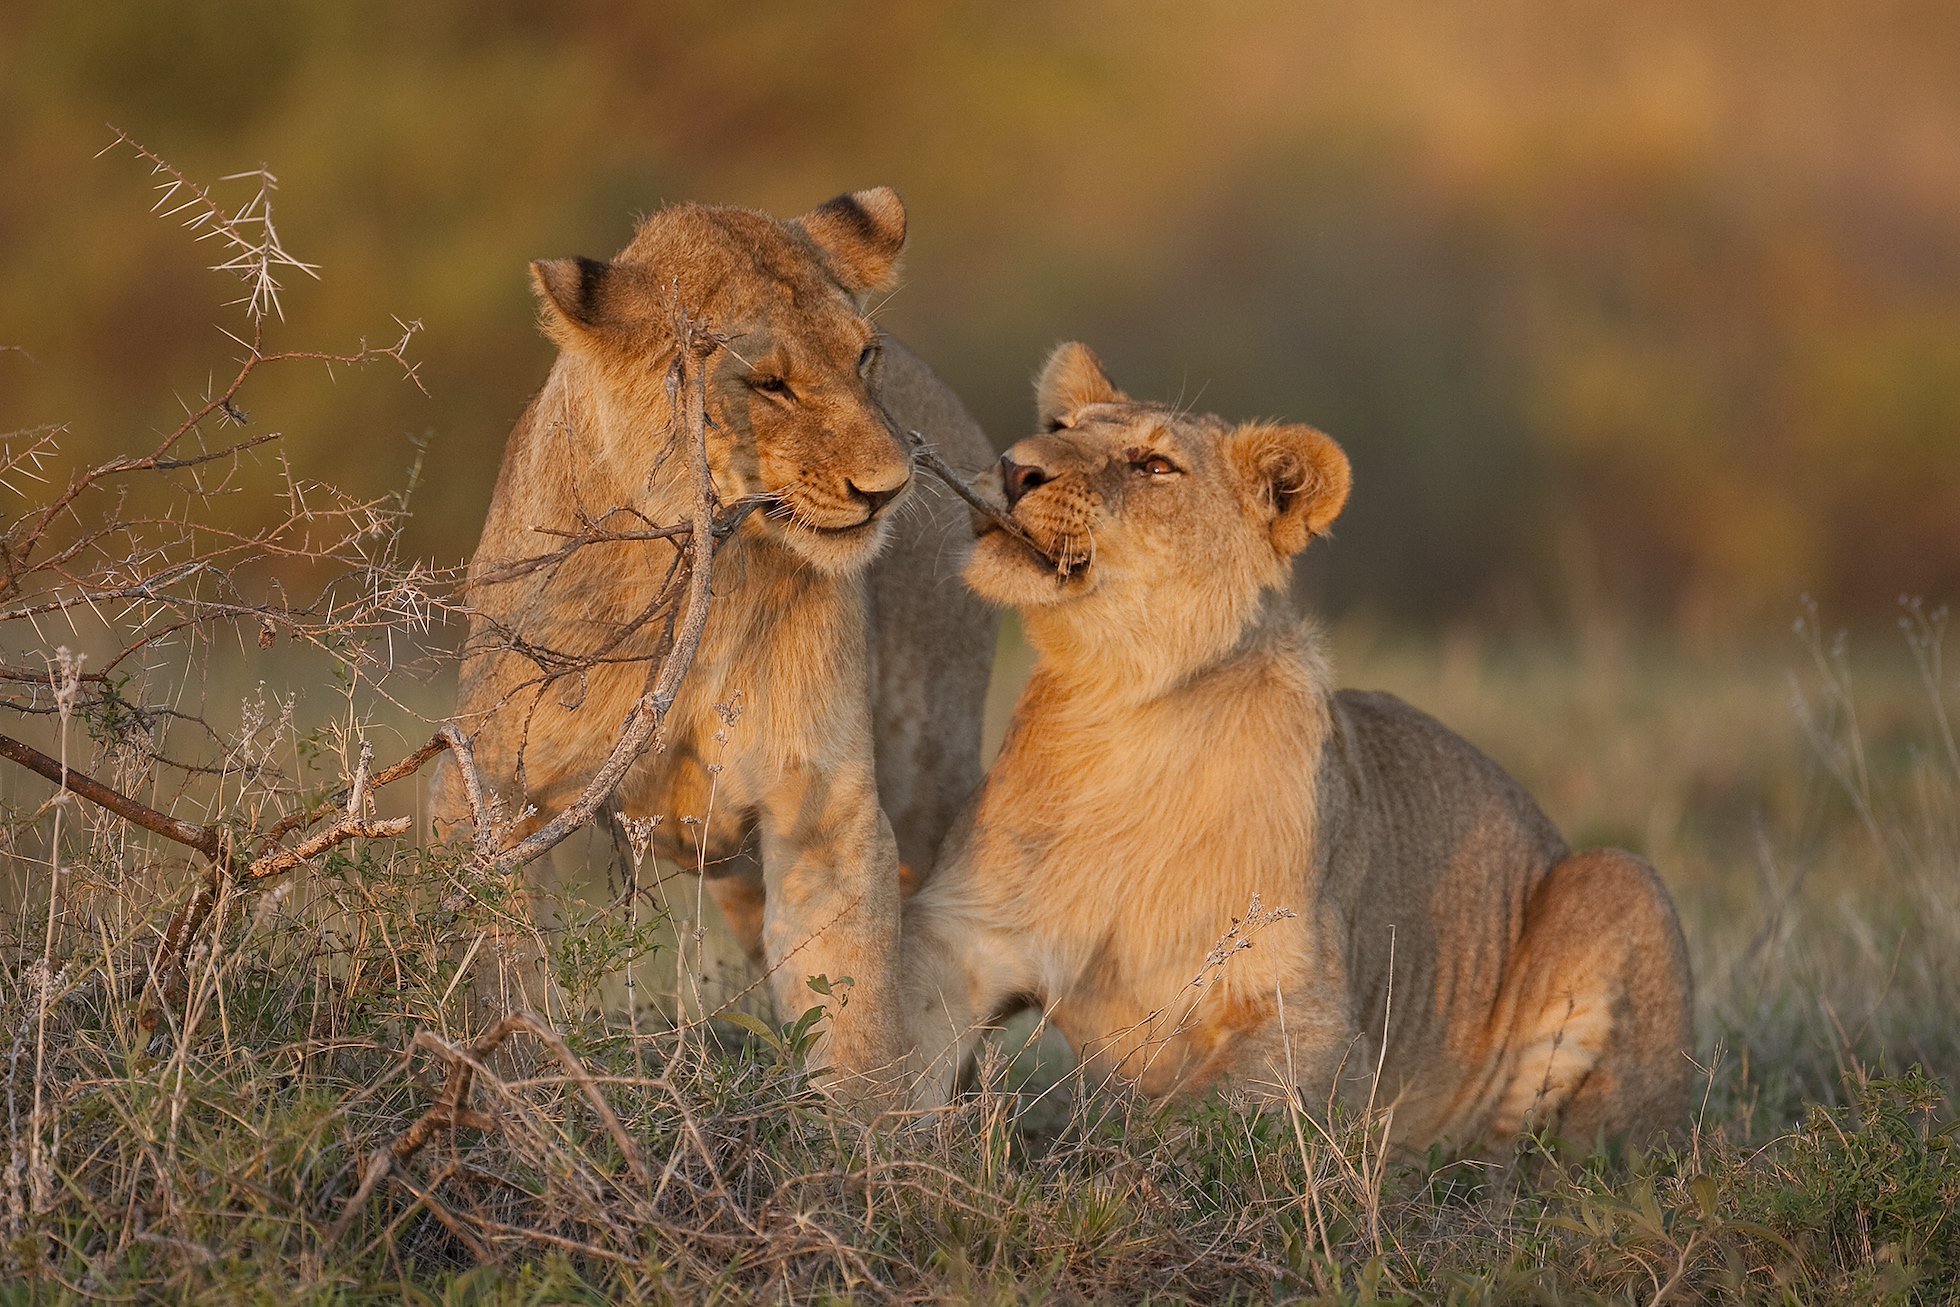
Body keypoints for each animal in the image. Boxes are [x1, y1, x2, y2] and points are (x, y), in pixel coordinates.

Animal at [439, 189, 1003, 1097]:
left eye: (863, 357)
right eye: (769, 383)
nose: (889, 488)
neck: (709, 568)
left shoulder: (824, 802)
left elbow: (852, 1003)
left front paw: (866, 1129)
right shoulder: (485, 780)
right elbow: (502, 961)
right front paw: (516, 1084)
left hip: (929, 768)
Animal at [897, 342, 1693, 1152]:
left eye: (1154, 464)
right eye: (1058, 427)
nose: (1014, 468)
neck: (1120, 702)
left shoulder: (1312, 1016)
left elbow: (1194, 1114)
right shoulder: (960, 939)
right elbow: (894, 1054)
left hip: (1617, 881)